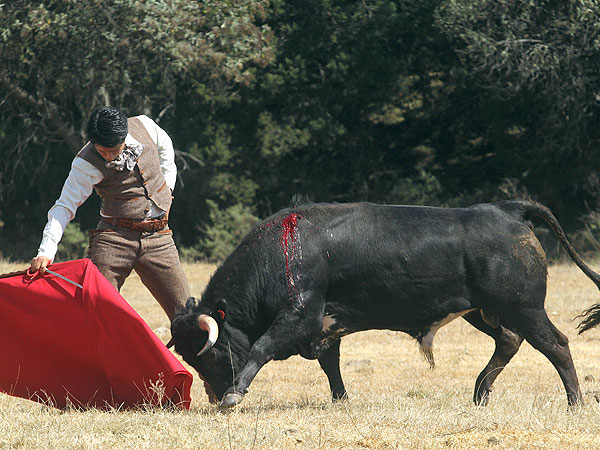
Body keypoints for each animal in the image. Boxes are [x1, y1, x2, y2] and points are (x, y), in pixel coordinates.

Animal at [168, 202, 600, 406]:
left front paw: (235, 395)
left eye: (210, 352)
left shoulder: (300, 316)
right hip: (483, 312)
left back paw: (574, 402)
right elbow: (331, 365)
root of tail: (506, 210)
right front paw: (341, 399)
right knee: (509, 341)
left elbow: (261, 347)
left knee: (556, 345)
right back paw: (480, 393)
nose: (214, 394)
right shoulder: (325, 328)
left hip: (525, 308)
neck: (283, 251)